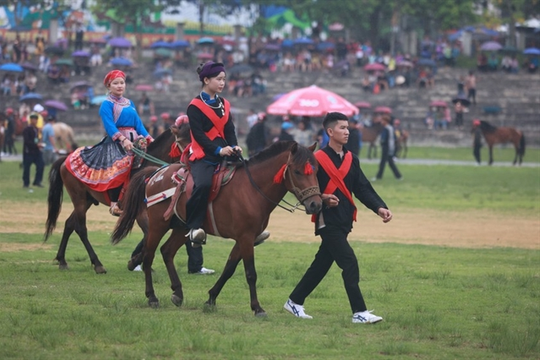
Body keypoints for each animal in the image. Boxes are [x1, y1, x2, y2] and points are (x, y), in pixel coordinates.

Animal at [42, 125, 187, 274]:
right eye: (183, 141)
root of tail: (66, 158)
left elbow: (148, 236)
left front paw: (137, 261)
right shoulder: (140, 213)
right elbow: (148, 234)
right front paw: (135, 261)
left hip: (87, 200)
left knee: (69, 224)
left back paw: (62, 260)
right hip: (79, 199)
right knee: (81, 228)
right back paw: (98, 264)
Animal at [109, 141, 320, 316]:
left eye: (316, 171)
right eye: (298, 171)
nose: (315, 205)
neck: (252, 190)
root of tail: (156, 174)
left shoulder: (245, 238)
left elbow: (229, 269)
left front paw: (211, 298)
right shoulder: (245, 238)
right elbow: (251, 273)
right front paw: (257, 308)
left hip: (181, 228)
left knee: (167, 251)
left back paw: (178, 292)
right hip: (158, 225)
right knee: (149, 255)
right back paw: (152, 297)